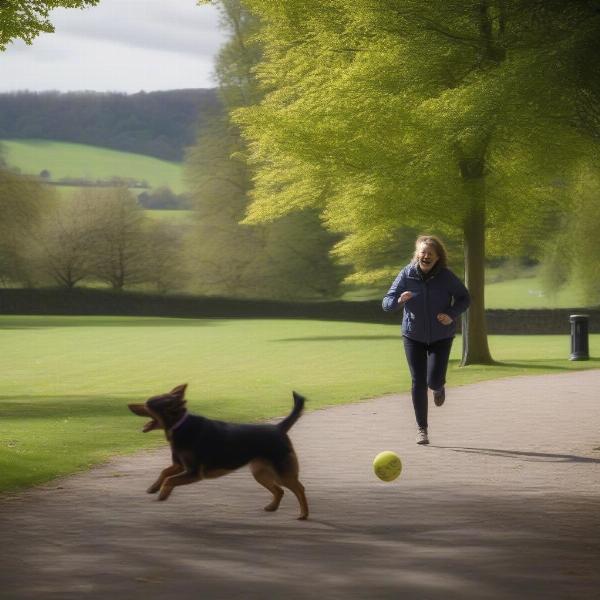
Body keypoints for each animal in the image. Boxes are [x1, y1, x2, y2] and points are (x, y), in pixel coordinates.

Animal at [130, 386, 310, 516]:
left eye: (148, 404)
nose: (129, 405)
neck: (180, 425)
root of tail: (279, 428)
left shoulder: (194, 473)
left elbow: (169, 480)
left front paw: (163, 493)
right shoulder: (180, 465)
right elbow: (164, 472)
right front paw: (154, 487)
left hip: (282, 473)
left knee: (299, 489)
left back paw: (303, 514)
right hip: (260, 473)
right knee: (279, 490)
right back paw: (272, 507)